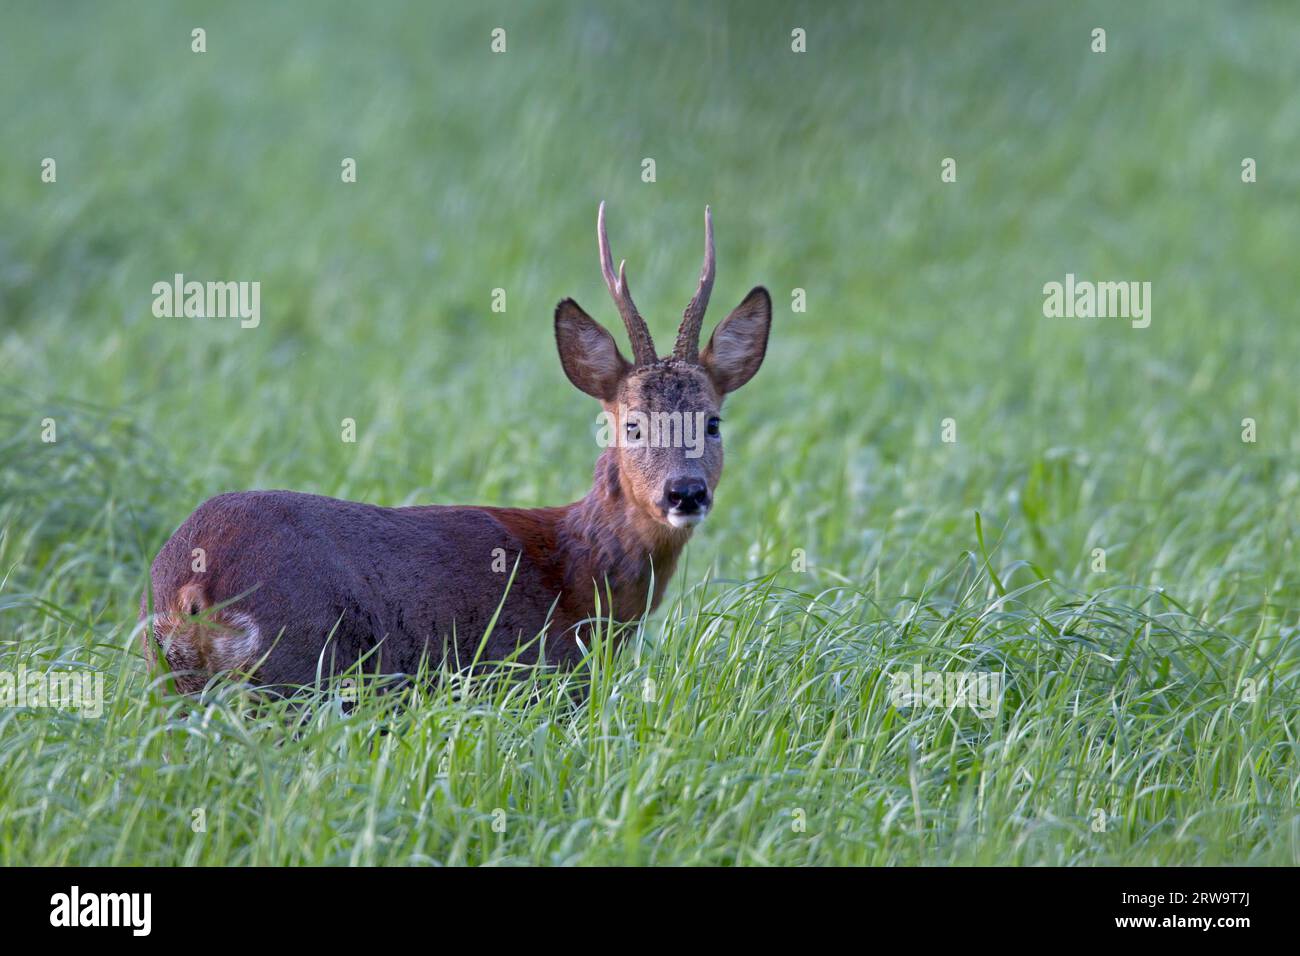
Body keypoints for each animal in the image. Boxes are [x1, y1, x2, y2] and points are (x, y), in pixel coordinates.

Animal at [142, 204, 769, 697]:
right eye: (633, 425)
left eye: (713, 422)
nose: (685, 491)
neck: (580, 575)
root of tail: (189, 588)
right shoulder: (539, 677)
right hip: (295, 665)